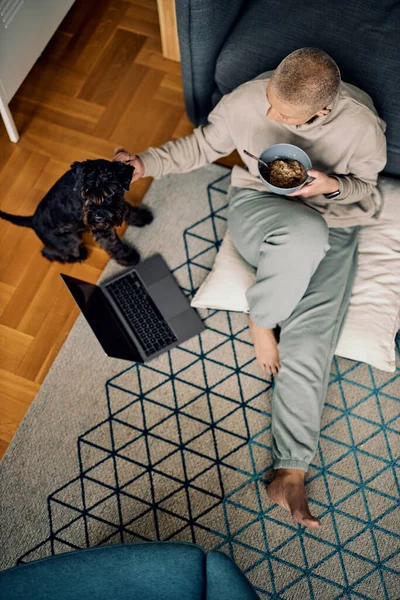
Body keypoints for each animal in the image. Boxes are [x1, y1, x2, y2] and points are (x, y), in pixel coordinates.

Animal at [0, 159, 153, 264]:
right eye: (86, 194)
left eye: (111, 192)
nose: (98, 217)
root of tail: (32, 220)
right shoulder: (102, 229)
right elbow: (113, 244)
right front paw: (129, 257)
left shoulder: (118, 205)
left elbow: (128, 210)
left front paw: (142, 217)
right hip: (69, 241)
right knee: (50, 253)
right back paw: (79, 255)